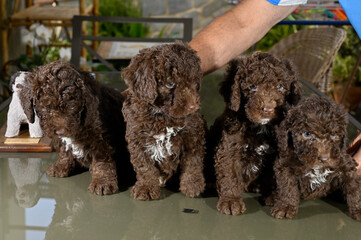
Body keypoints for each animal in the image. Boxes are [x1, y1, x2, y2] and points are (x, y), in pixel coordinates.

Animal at [121, 41, 205, 201]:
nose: (193, 106)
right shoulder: (137, 138)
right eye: (170, 84)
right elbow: (144, 166)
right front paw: (146, 187)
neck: (162, 115)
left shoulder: (193, 133)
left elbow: (193, 160)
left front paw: (192, 185)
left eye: (193, 81)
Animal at [208, 51, 300, 216]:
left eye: (280, 86)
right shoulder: (229, 147)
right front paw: (231, 201)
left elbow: (274, 177)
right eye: (252, 86)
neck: (260, 128)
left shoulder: (278, 152)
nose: (268, 109)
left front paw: (273, 196)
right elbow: (230, 173)